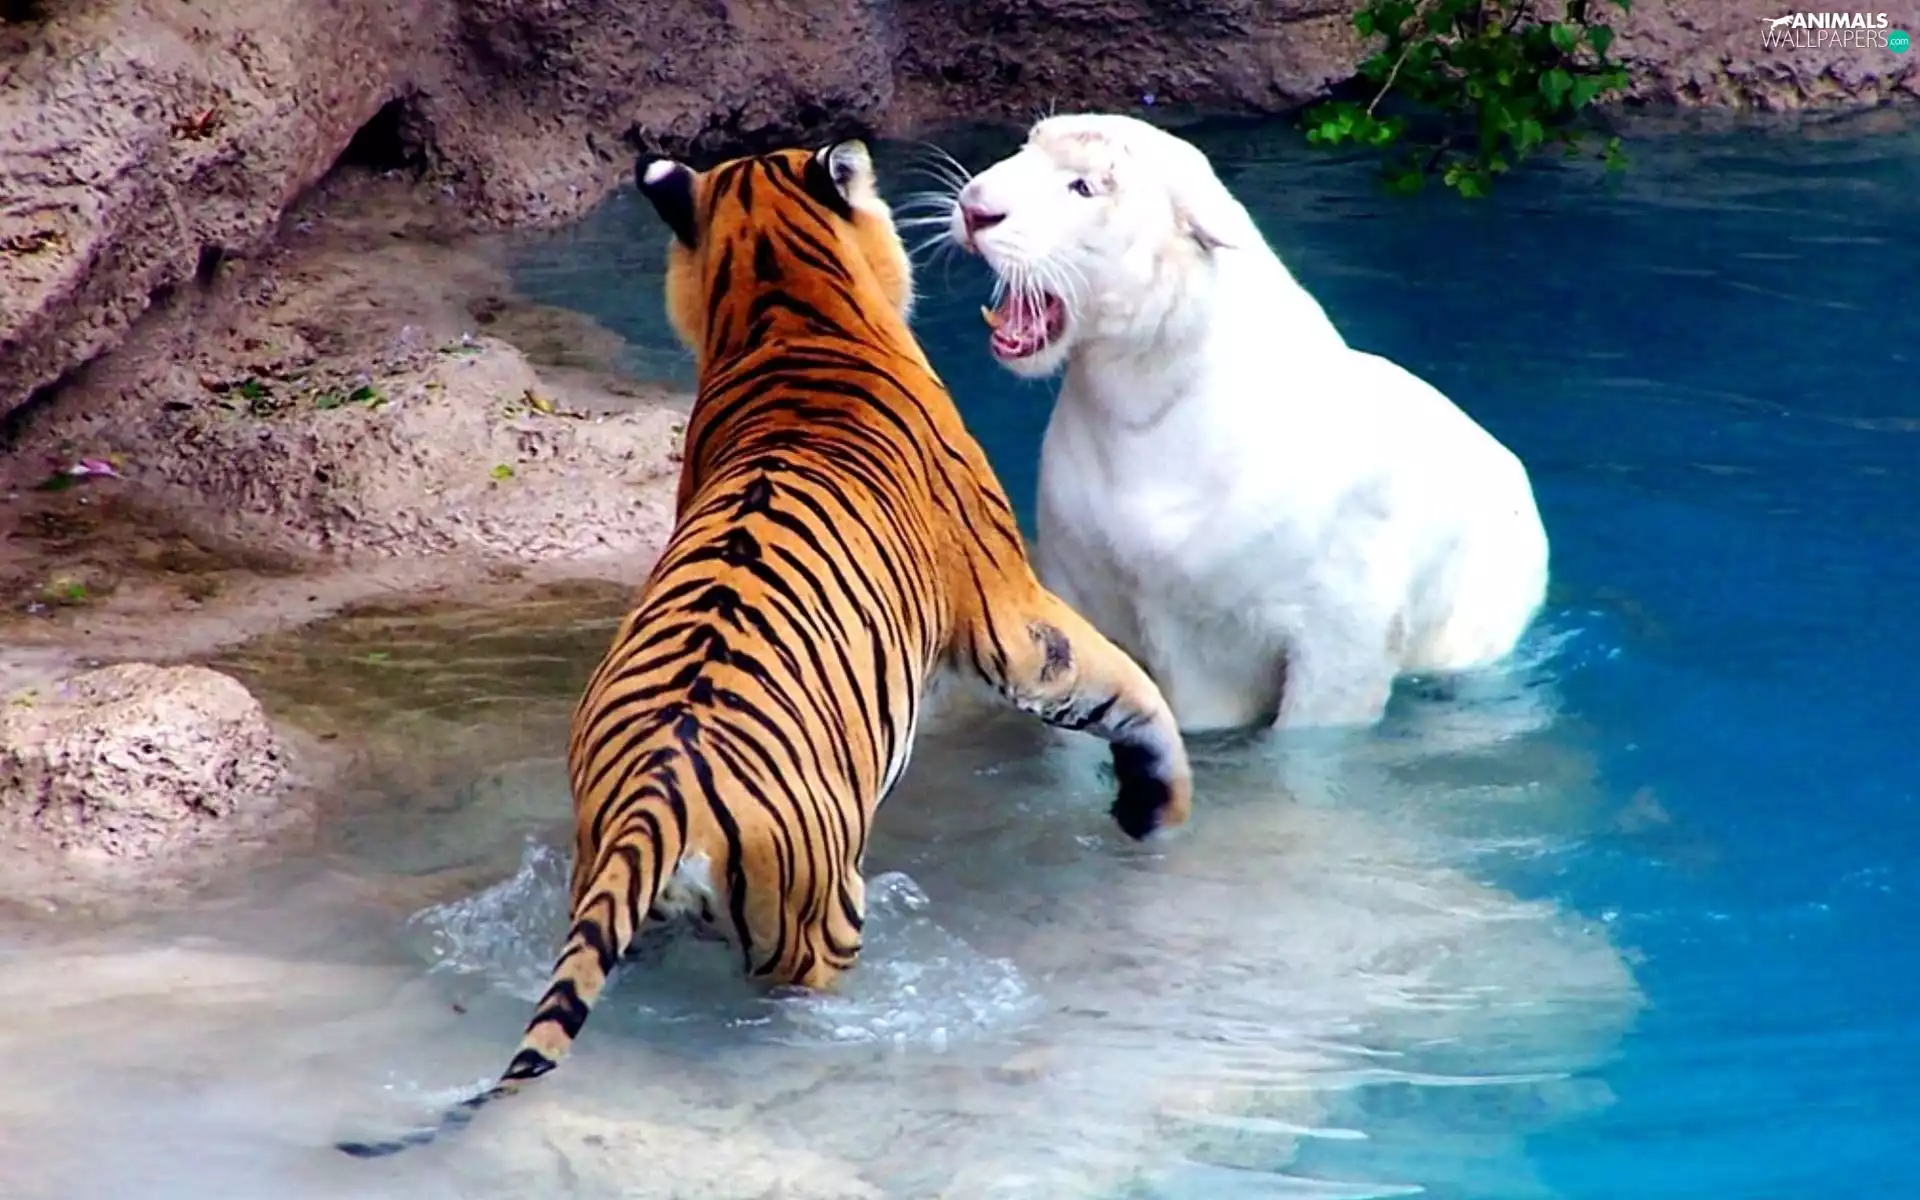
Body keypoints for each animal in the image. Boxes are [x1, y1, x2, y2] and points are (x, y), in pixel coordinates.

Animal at [334, 138, 1193, 1159]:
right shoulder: (1008, 614)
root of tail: (654, 802)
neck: (784, 305)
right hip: (821, 916)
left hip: (612, 887)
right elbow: (1124, 689)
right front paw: (1156, 805)